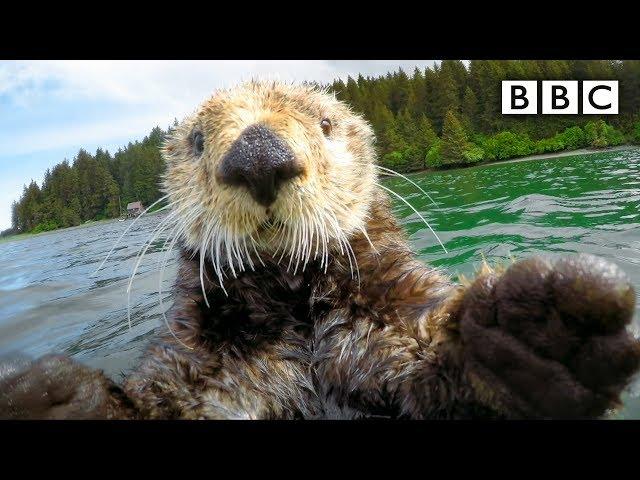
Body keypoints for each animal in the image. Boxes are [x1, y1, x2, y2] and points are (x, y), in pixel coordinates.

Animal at [1, 80, 640, 418]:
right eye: (199, 139)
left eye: (326, 124)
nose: (258, 154)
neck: (291, 303)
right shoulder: (208, 362)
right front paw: (56, 401)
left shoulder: (381, 314)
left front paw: (534, 332)